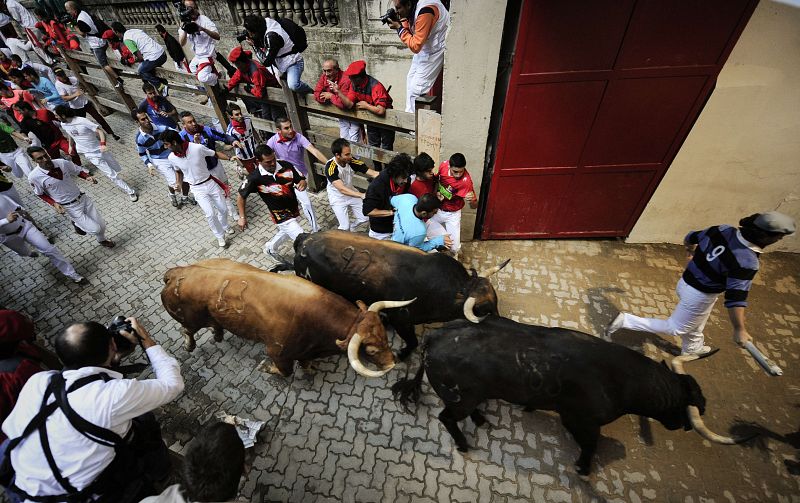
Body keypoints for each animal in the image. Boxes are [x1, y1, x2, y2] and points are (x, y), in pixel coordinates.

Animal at [160, 260, 416, 378]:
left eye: (385, 336)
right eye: (371, 350)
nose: (391, 363)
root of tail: (178, 272)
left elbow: (306, 365)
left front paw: (310, 368)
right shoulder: (277, 352)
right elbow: (285, 372)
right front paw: (266, 368)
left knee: (213, 325)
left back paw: (218, 333)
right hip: (190, 318)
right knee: (187, 330)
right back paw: (190, 344)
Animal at [290, 230, 510, 360]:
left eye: (496, 301)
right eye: (483, 309)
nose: (501, 324)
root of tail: (305, 239)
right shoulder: (402, 320)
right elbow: (412, 341)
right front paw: (403, 354)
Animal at [390, 318, 752, 476]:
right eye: (684, 402)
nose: (683, 425)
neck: (624, 379)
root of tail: (434, 337)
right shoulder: (581, 420)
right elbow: (591, 445)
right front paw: (582, 468)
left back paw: (480, 419)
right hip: (459, 397)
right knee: (447, 417)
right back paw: (465, 443)